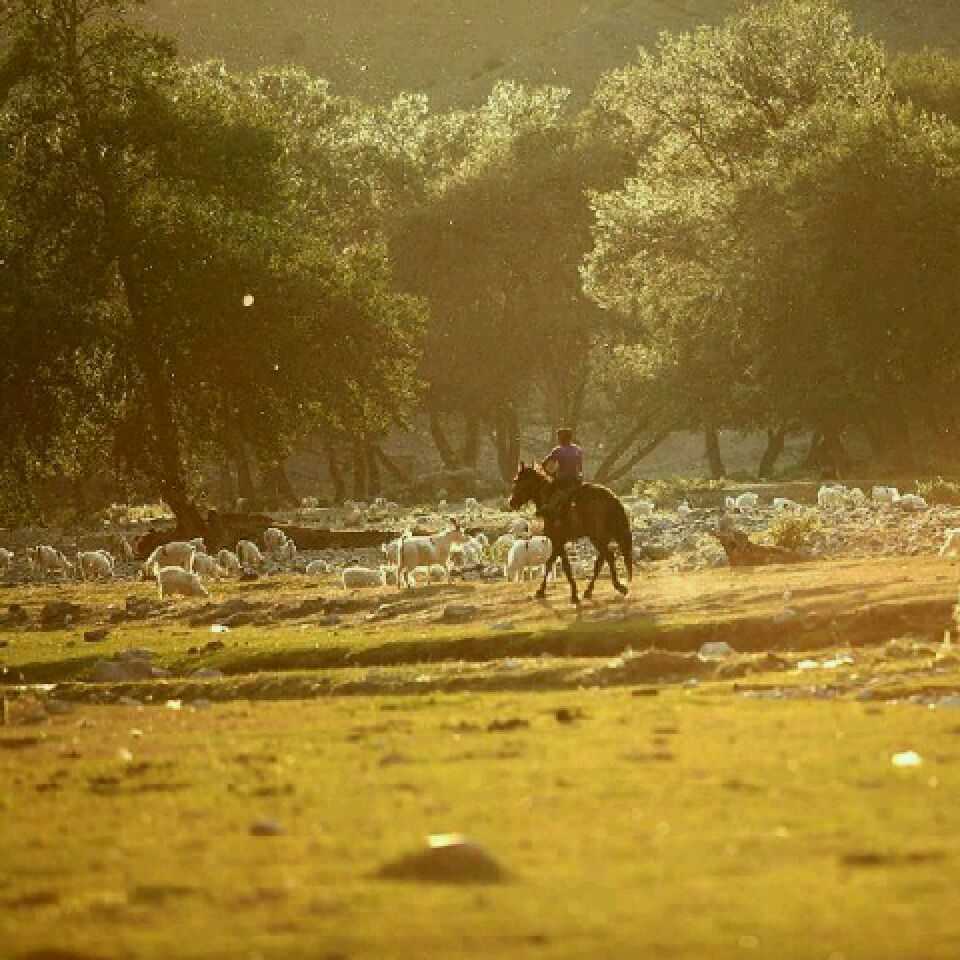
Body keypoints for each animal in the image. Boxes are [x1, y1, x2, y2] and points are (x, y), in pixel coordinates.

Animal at [508, 463, 633, 604]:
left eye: (516, 481)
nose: (511, 502)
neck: (548, 498)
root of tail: (611, 498)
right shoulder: (558, 541)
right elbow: (552, 563)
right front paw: (543, 591)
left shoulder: (557, 540)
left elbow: (563, 566)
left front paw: (572, 594)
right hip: (602, 537)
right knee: (601, 560)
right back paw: (589, 591)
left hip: (597, 537)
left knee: (608, 557)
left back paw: (618, 587)